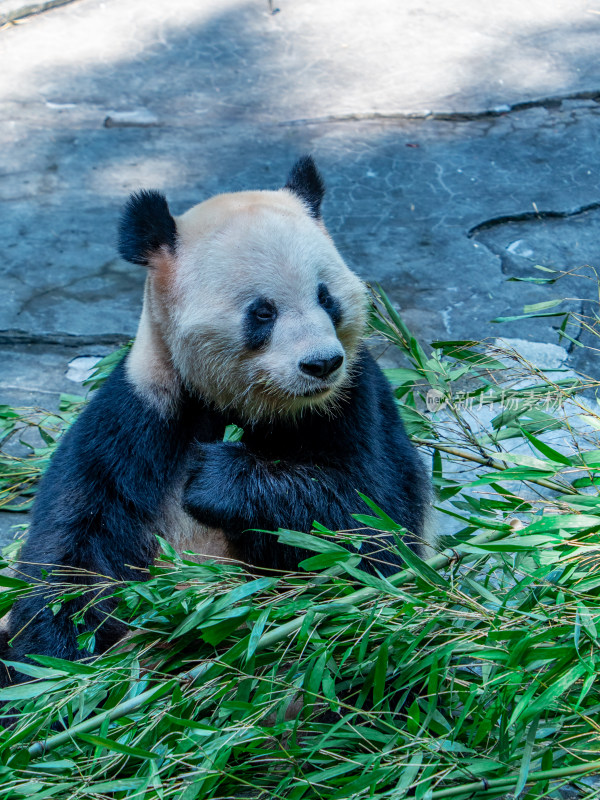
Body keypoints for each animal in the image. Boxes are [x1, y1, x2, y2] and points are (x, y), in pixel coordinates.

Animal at [0, 158, 432, 680]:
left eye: (327, 297)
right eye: (262, 312)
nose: (321, 364)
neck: (252, 407)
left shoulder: (355, 403)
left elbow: (372, 528)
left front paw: (217, 480)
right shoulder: (139, 414)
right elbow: (76, 550)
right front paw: (58, 670)